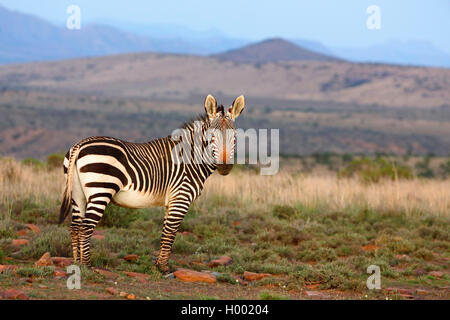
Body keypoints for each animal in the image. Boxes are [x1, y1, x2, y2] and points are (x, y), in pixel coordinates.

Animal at [59, 93, 246, 272]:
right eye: (212, 136)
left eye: (234, 137)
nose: (225, 167)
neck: (190, 159)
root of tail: (79, 145)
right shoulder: (181, 198)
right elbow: (171, 232)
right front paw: (163, 268)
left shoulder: (171, 201)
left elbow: (165, 232)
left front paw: (158, 265)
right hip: (100, 190)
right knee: (86, 227)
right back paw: (87, 266)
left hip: (78, 194)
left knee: (75, 226)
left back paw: (77, 263)